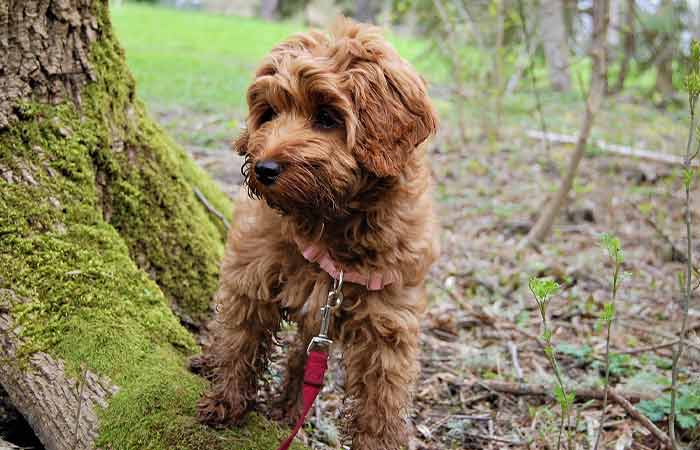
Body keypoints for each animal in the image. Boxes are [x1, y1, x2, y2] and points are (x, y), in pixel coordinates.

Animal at [196, 17, 438, 450]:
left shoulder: (390, 318)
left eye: (327, 116)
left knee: (299, 355)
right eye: (269, 113)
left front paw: (379, 440)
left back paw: (289, 408)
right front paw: (226, 401)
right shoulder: (252, 274)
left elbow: (383, 396)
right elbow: (239, 340)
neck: (332, 222)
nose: (264, 169)